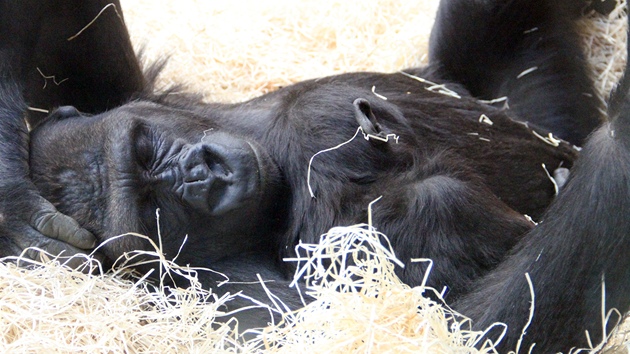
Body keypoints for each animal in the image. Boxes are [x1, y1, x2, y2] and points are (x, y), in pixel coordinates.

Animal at [1, 0, 630, 352]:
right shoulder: (239, 298)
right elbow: (457, 329)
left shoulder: (133, 90)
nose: (201, 176)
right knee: (443, 199)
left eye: (145, 150)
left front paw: (11, 198)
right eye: (155, 208)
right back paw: (614, 138)